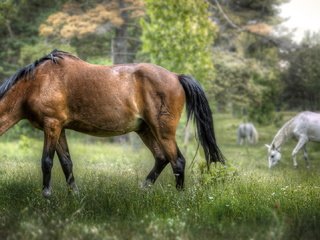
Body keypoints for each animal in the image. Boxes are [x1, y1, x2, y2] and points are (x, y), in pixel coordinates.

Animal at [0, 49, 225, 197]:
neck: (36, 83)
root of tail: (177, 77)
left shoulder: (52, 125)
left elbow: (47, 162)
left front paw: (46, 196)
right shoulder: (59, 129)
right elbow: (66, 163)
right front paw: (74, 195)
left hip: (163, 131)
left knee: (177, 161)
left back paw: (177, 199)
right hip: (145, 130)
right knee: (161, 158)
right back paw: (142, 190)